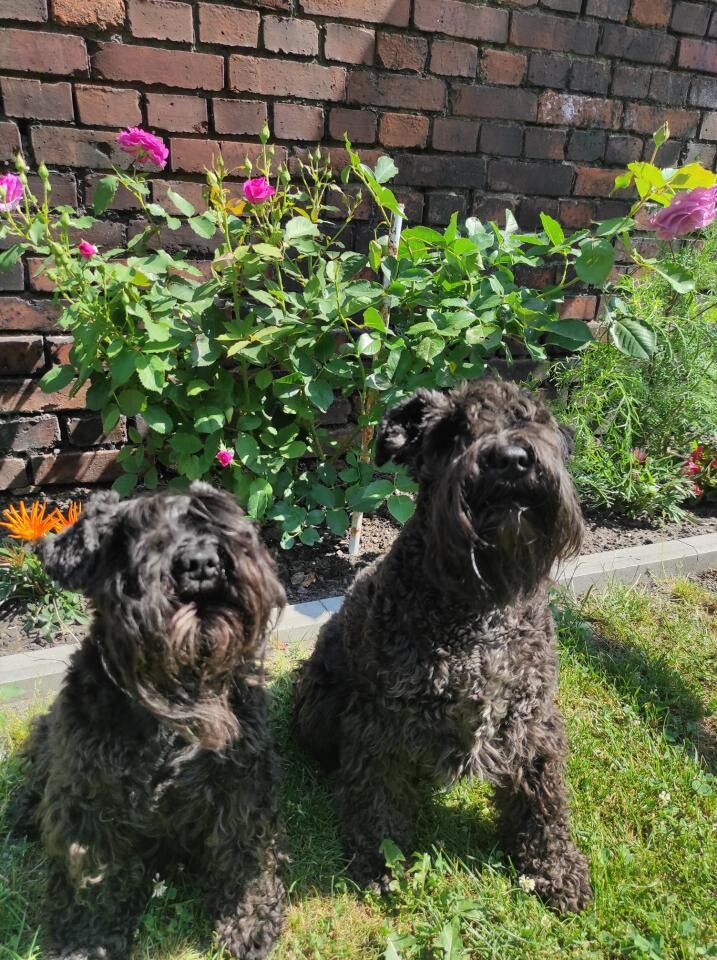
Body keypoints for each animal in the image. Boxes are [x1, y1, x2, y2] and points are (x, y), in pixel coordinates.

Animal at [9, 482, 286, 959]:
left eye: (216, 515)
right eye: (131, 535)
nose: (202, 562)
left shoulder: (240, 785)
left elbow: (242, 851)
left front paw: (248, 920)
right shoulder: (92, 801)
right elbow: (94, 878)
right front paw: (86, 939)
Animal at [294, 379, 592, 912]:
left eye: (530, 419)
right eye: (453, 430)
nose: (511, 459)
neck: (478, 606)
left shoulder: (532, 716)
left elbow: (543, 797)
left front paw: (555, 867)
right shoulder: (382, 720)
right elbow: (378, 794)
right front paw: (381, 859)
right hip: (320, 708)